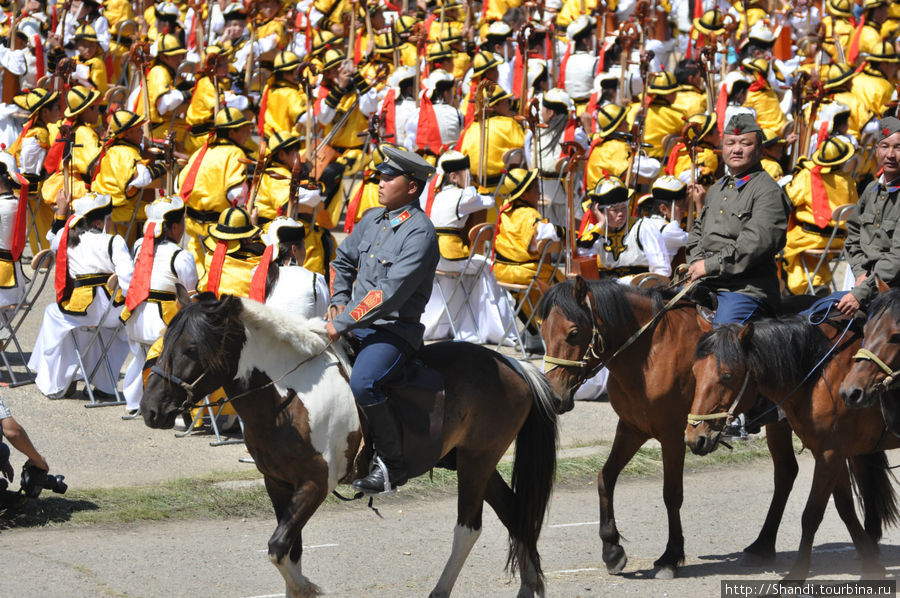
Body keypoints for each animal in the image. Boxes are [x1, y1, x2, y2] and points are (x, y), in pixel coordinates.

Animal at [139, 296, 564, 598]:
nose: (150, 409)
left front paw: (308, 587)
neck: (290, 396)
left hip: (477, 462)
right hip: (474, 463)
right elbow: (290, 550)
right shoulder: (277, 484)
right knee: (517, 515)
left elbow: (278, 547)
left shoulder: (314, 485)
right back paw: (529, 586)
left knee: (468, 529)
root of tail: (514, 365)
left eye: (192, 349)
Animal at [684, 316, 896, 584]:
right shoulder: (832, 453)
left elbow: (812, 514)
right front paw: (870, 563)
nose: (695, 437)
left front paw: (797, 573)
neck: (819, 376)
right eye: (695, 372)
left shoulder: (830, 455)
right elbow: (845, 507)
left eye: (727, 375)